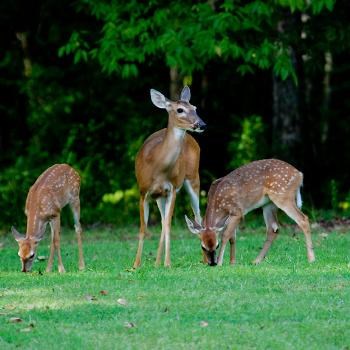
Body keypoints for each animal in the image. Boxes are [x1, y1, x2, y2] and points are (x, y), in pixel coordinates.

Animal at [133, 86, 205, 266]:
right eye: (180, 110)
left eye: (195, 108)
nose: (201, 124)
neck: (158, 167)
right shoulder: (143, 191)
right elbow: (144, 228)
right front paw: (136, 265)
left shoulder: (172, 189)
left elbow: (168, 225)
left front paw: (168, 263)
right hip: (159, 196)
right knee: (162, 220)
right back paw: (156, 262)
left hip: (193, 178)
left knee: (197, 216)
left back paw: (204, 257)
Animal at [186, 159, 314, 266]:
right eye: (203, 247)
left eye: (216, 246)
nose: (212, 263)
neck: (218, 204)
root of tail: (299, 175)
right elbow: (232, 238)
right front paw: (232, 262)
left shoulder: (237, 211)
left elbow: (226, 235)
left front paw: (221, 262)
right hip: (268, 204)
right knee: (273, 228)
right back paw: (256, 260)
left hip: (283, 196)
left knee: (303, 219)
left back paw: (311, 258)